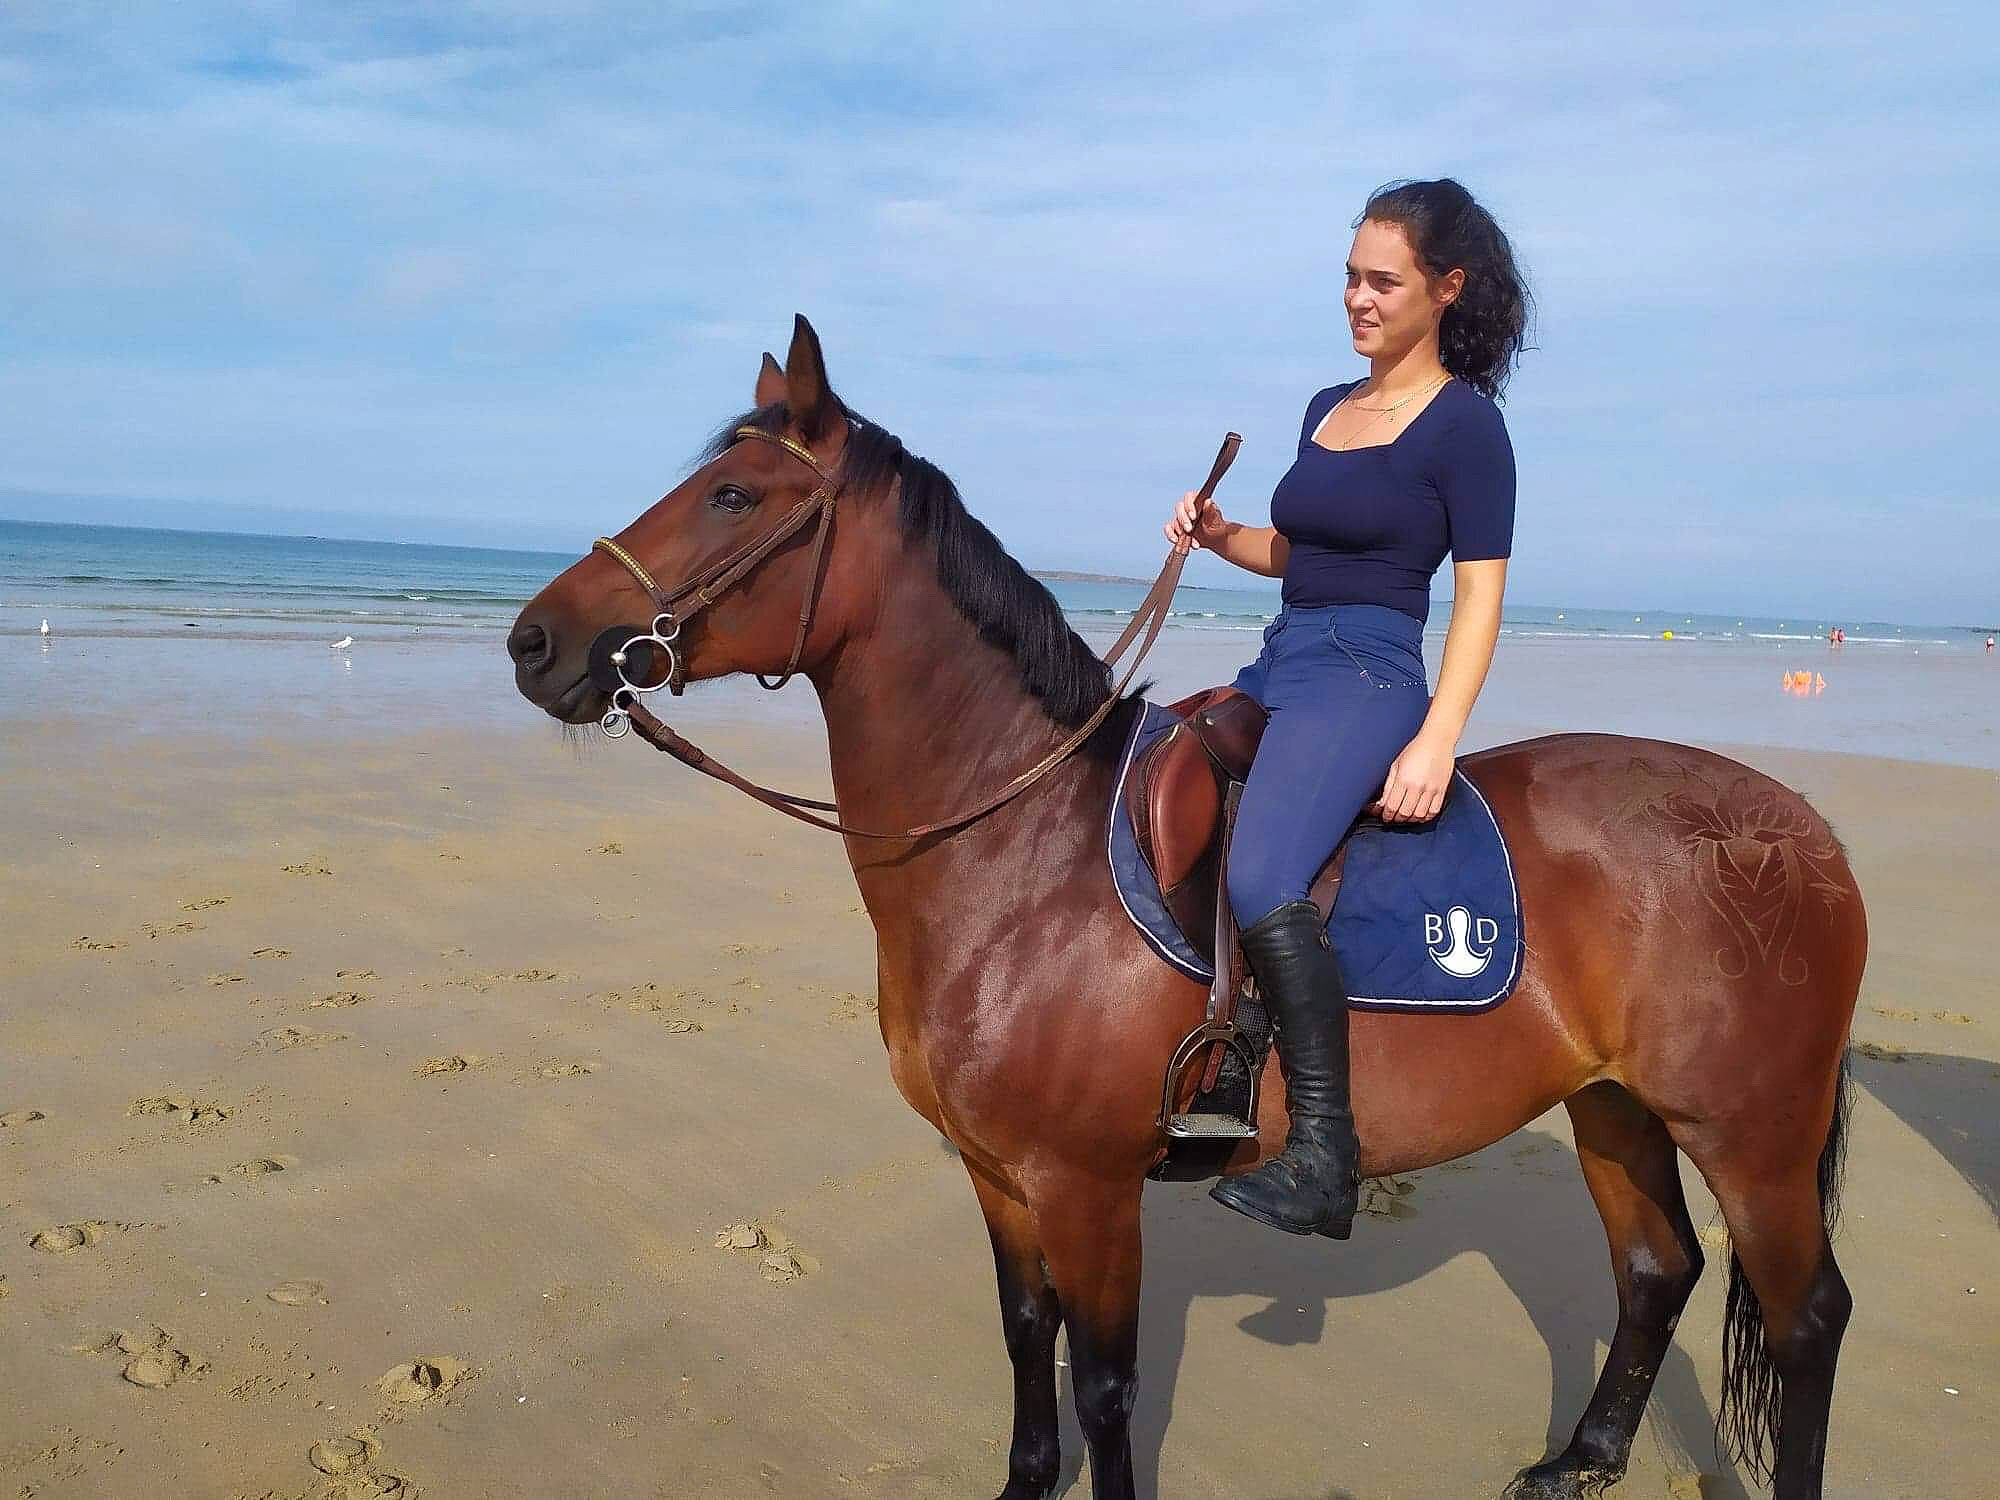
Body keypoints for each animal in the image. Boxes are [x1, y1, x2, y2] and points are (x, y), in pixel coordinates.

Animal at [508, 316, 1866, 1499]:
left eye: (734, 497)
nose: (533, 642)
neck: (1017, 853)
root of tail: (1797, 832)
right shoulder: (999, 1177)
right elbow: (1024, 1336)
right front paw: (1021, 1483)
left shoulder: (1085, 1187)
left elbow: (1105, 1387)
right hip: (1614, 1109)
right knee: (1653, 1269)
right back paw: (1576, 1460)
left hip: (1750, 1134)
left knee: (1805, 1319)